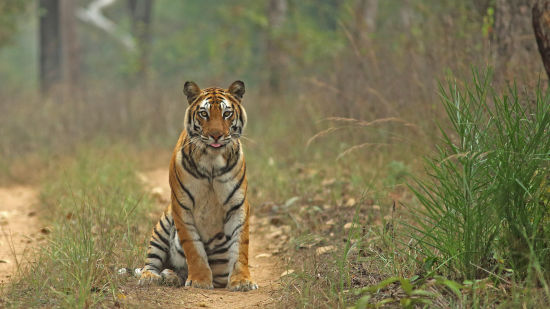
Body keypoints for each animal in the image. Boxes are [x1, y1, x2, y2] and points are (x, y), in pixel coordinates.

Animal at [138, 80, 258, 292]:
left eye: (227, 113)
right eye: (204, 113)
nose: (216, 135)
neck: (212, 161)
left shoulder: (238, 205)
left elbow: (240, 246)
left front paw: (242, 281)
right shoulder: (181, 206)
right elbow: (193, 248)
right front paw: (200, 280)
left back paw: (171, 276)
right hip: (162, 224)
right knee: (152, 261)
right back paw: (152, 277)